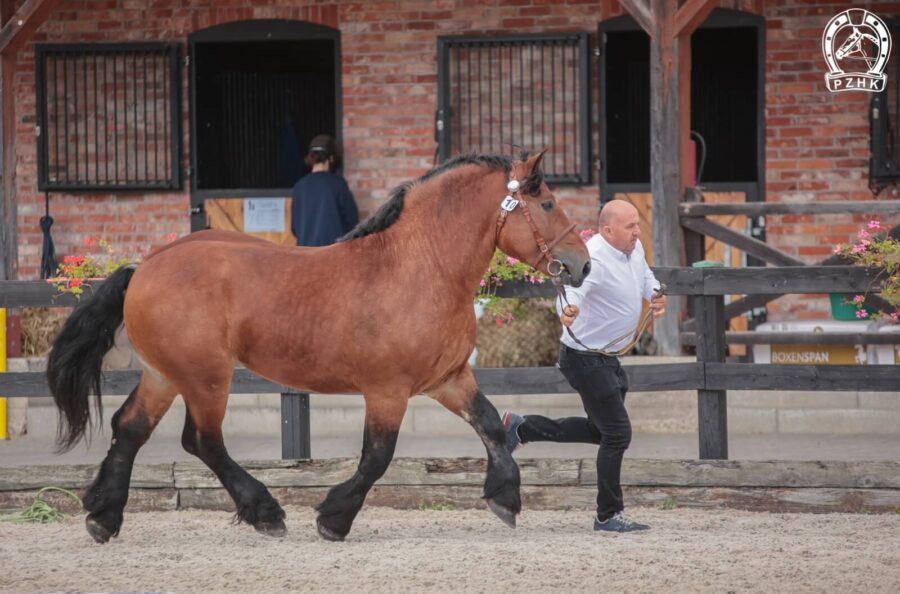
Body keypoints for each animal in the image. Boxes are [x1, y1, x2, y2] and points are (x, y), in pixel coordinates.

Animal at [47, 151, 592, 540]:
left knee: (130, 428)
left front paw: (506, 498)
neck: (419, 267)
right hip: (205, 378)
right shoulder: (388, 391)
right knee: (202, 441)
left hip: (165, 374)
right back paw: (264, 511)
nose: (581, 264)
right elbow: (377, 457)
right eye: (547, 204)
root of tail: (145, 267)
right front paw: (334, 518)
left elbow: (492, 426)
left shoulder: (448, 379)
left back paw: (103, 516)